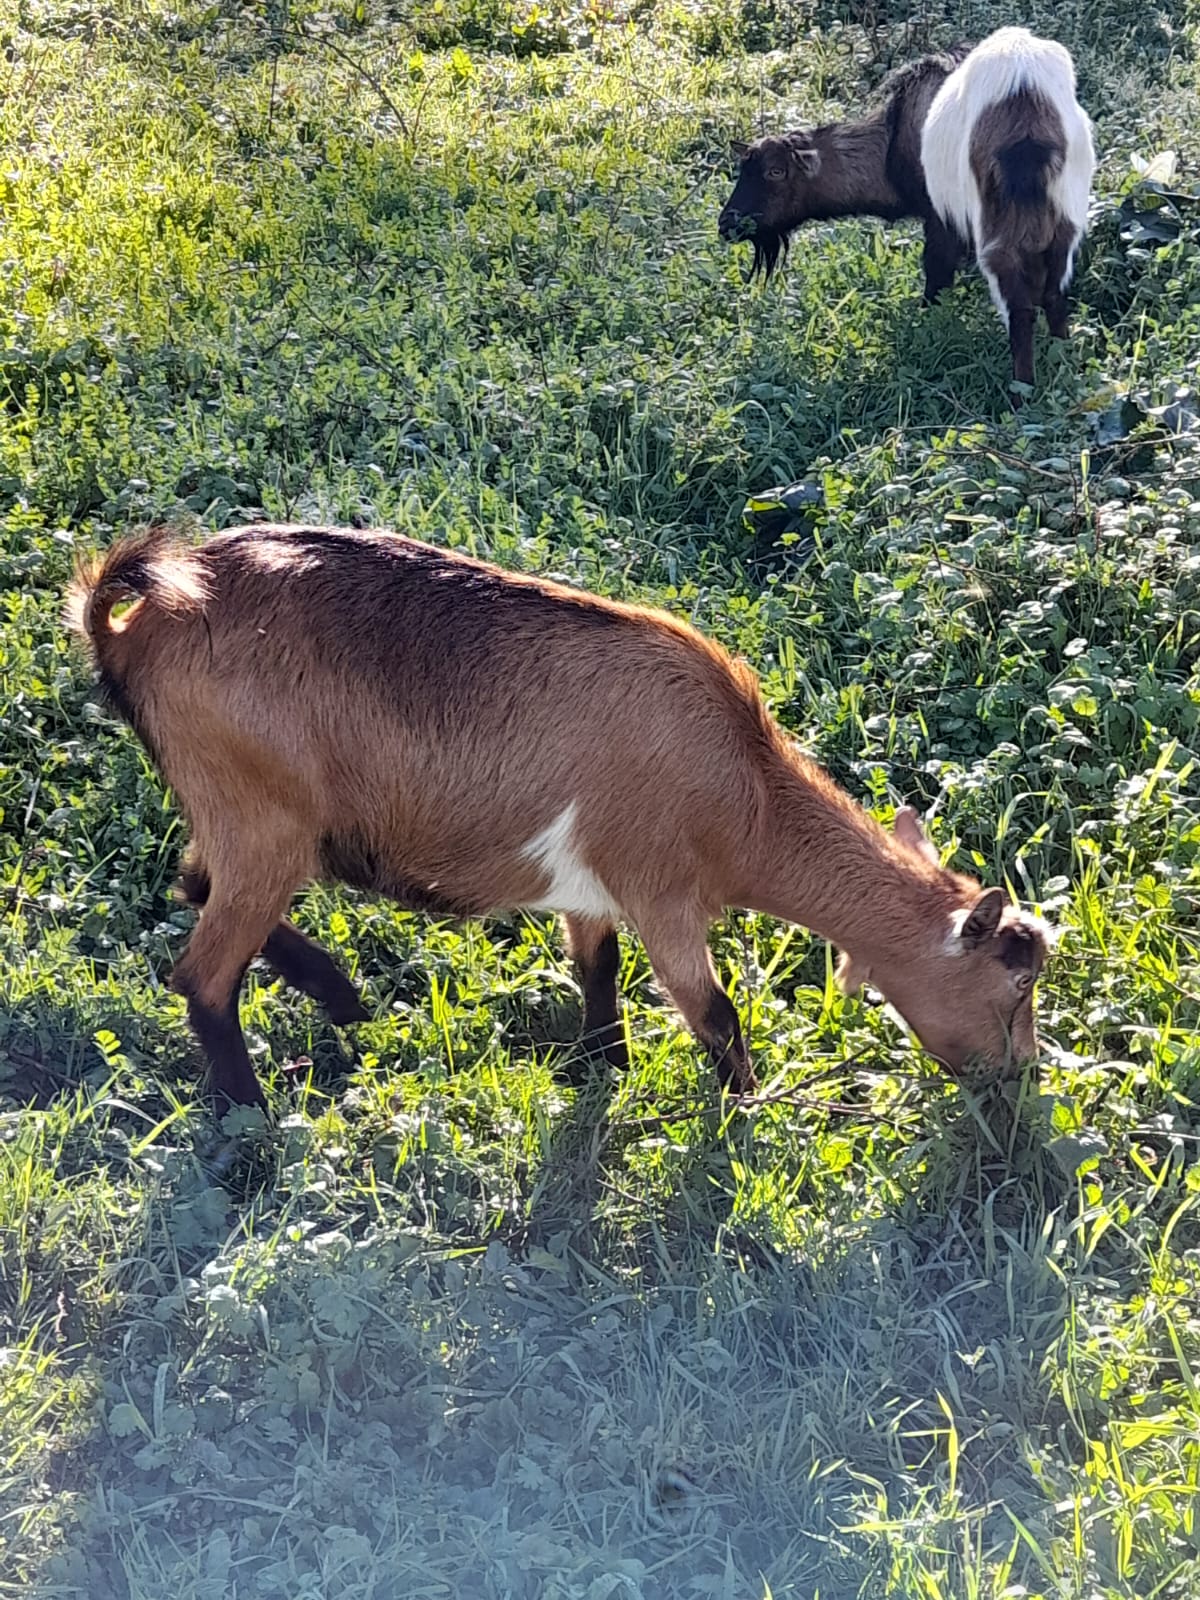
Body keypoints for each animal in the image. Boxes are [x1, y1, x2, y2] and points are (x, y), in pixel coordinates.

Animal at [68, 524, 1049, 1113]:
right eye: (1016, 986)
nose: (1022, 1080)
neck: (745, 794)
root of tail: (136, 619)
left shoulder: (592, 888)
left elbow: (599, 973)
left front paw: (607, 1067)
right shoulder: (662, 891)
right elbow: (714, 1010)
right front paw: (748, 1110)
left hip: (242, 816)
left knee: (195, 883)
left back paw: (341, 997)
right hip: (263, 818)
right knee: (202, 975)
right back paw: (252, 1118)